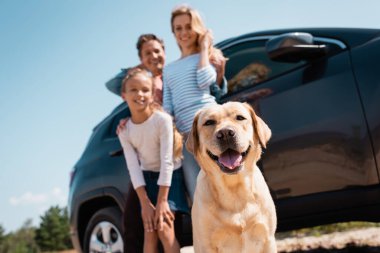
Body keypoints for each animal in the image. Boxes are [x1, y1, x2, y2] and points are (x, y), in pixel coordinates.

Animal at [186, 101, 276, 253]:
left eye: (240, 118)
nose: (226, 133)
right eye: (209, 122)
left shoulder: (268, 239)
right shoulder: (205, 245)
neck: (234, 189)